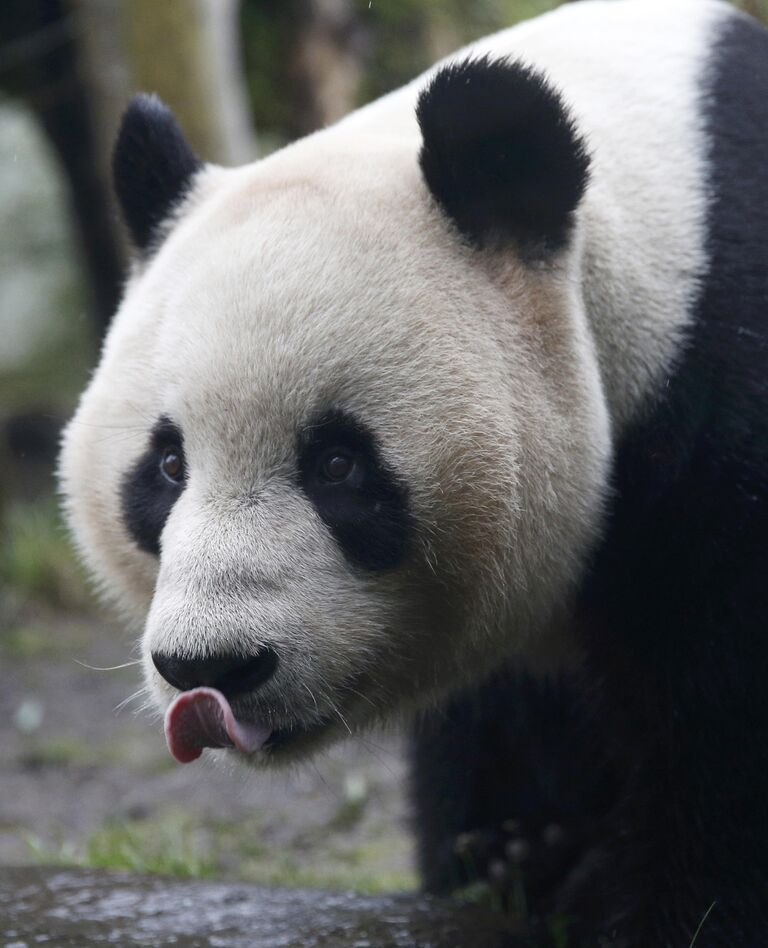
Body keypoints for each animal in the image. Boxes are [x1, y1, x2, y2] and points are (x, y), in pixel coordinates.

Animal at [58, 3, 768, 944]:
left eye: (337, 464)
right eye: (168, 466)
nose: (212, 667)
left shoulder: (726, 425)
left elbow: (725, 738)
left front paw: (661, 907)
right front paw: (513, 858)